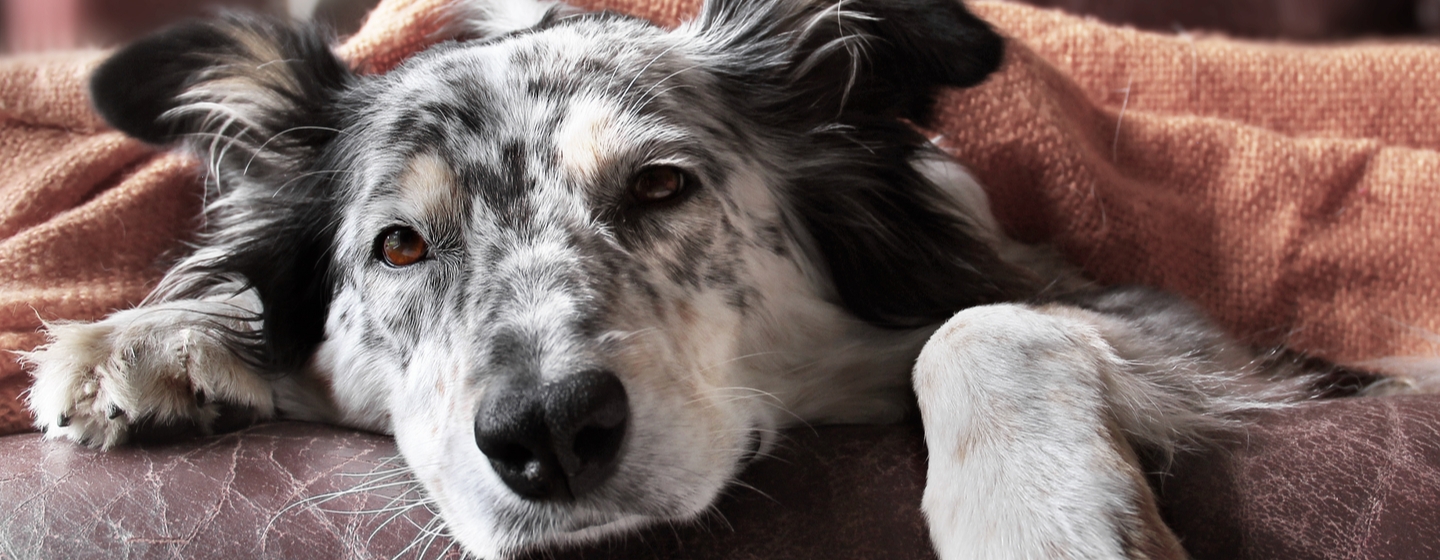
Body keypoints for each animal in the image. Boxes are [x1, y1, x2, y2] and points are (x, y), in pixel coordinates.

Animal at [16, 0, 1405, 555]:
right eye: (399, 246)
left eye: (660, 187)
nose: (548, 434)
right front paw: (151, 337)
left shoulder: (1195, 335)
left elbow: (986, 323)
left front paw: (1044, 518)